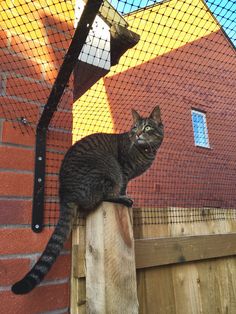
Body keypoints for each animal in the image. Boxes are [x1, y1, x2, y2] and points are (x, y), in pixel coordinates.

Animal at [12, 105, 163, 294]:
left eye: (147, 127)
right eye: (135, 127)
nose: (137, 134)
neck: (145, 150)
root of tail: (66, 193)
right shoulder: (124, 173)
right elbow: (122, 187)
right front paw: (124, 195)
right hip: (110, 168)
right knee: (106, 196)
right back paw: (123, 200)